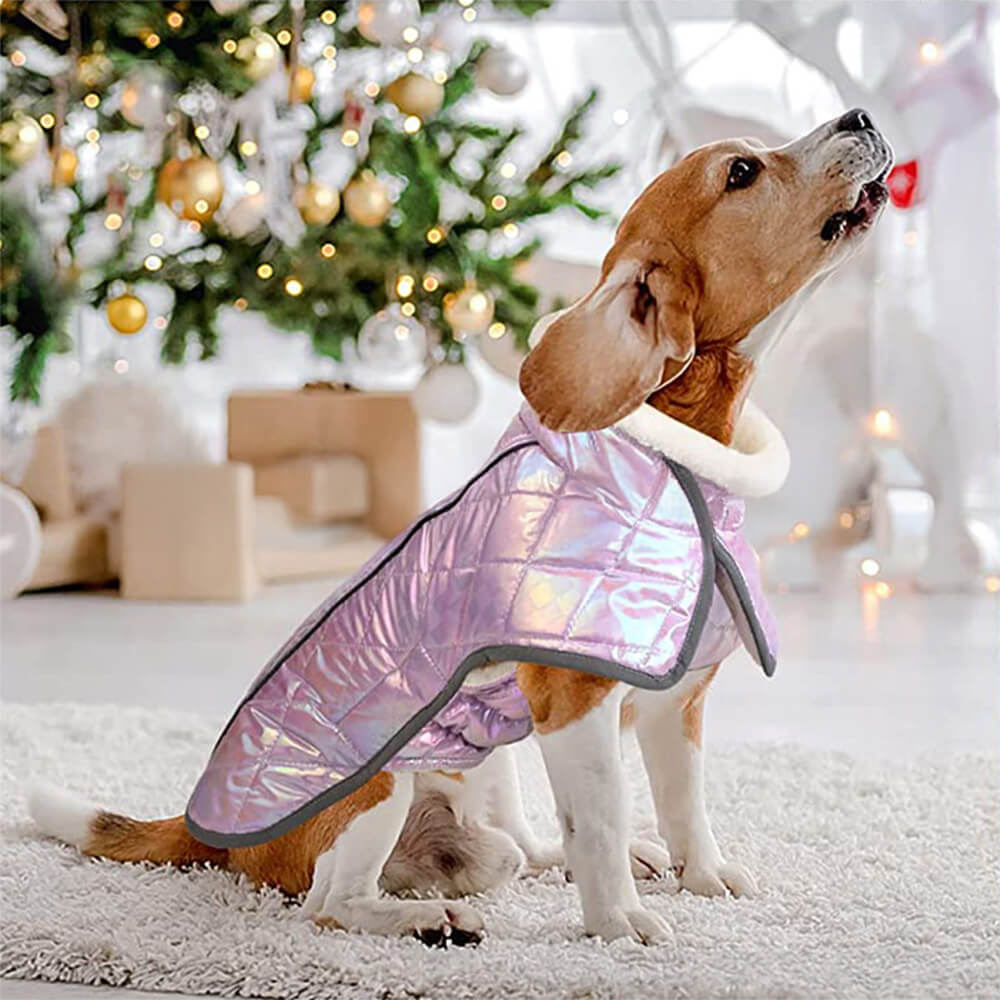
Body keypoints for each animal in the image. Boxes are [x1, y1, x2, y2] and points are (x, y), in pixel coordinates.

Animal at [29, 109, 892, 944]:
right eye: (741, 171)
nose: (860, 115)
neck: (679, 456)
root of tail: (204, 833)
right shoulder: (575, 705)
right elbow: (602, 823)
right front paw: (617, 927)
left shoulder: (674, 702)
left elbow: (684, 805)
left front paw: (701, 877)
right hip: (378, 783)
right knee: (331, 906)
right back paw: (428, 922)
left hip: (488, 768)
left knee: (522, 848)